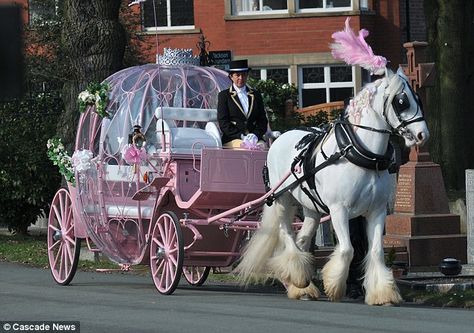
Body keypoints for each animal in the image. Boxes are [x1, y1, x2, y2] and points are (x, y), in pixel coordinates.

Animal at [236, 18, 430, 304]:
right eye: (401, 101)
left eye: (417, 97)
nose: (422, 135)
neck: (360, 153)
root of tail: (279, 137)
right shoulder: (340, 210)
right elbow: (348, 249)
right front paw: (335, 286)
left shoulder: (376, 210)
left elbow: (374, 252)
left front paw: (382, 292)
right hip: (282, 199)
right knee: (286, 234)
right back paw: (297, 277)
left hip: (312, 209)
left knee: (302, 240)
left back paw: (299, 284)